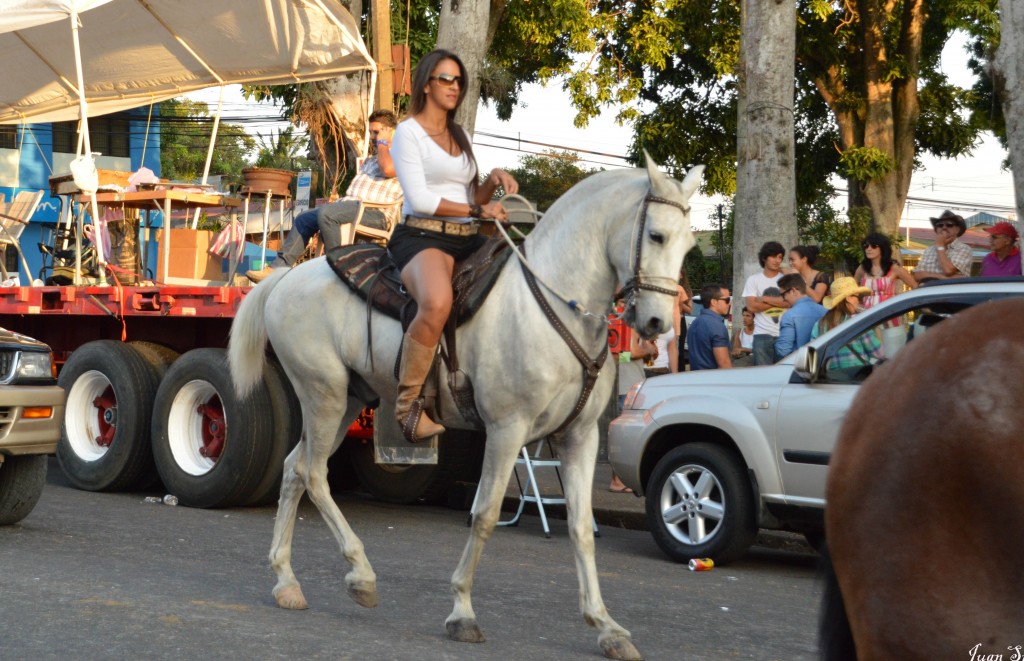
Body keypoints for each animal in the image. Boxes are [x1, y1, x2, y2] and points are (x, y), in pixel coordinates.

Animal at [228, 157, 700, 658]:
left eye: (688, 242)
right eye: (656, 236)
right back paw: (361, 575)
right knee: (315, 474)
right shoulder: (507, 430)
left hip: (345, 401)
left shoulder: (580, 436)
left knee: (295, 469)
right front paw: (462, 613)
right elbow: (485, 515)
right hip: (325, 394)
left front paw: (606, 626)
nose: (657, 323)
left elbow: (581, 528)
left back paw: (287, 581)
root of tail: (286, 278)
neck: (555, 305)